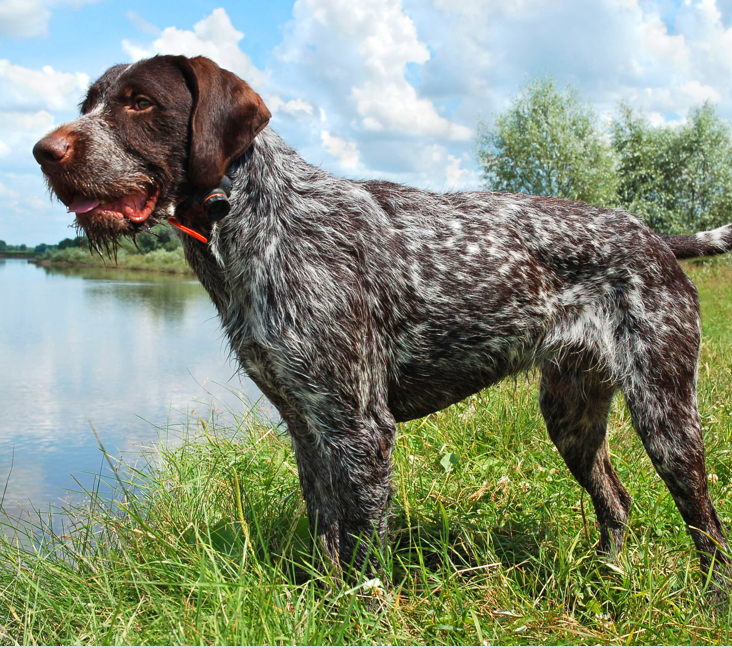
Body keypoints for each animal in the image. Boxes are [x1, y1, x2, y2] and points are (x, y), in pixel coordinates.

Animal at [33, 55, 732, 588]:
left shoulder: (360, 428)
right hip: (571, 416)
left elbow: (364, 550)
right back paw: (610, 578)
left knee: (707, 525)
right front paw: (319, 601)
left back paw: (709, 600)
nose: (43, 151)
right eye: (90, 101)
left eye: (140, 103)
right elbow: (326, 531)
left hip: (666, 416)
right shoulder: (307, 426)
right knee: (616, 501)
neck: (255, 220)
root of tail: (657, 239)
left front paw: (359, 612)